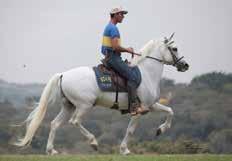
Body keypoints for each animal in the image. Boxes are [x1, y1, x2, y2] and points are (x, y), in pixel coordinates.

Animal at [13, 33, 188, 155]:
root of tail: (63, 74)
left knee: (55, 124)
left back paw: (51, 150)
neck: (146, 73)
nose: (185, 65)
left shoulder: (151, 105)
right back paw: (93, 142)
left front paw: (161, 130)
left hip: (68, 106)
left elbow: (170, 111)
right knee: (75, 121)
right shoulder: (140, 109)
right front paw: (124, 150)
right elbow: (130, 130)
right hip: (84, 106)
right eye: (174, 48)